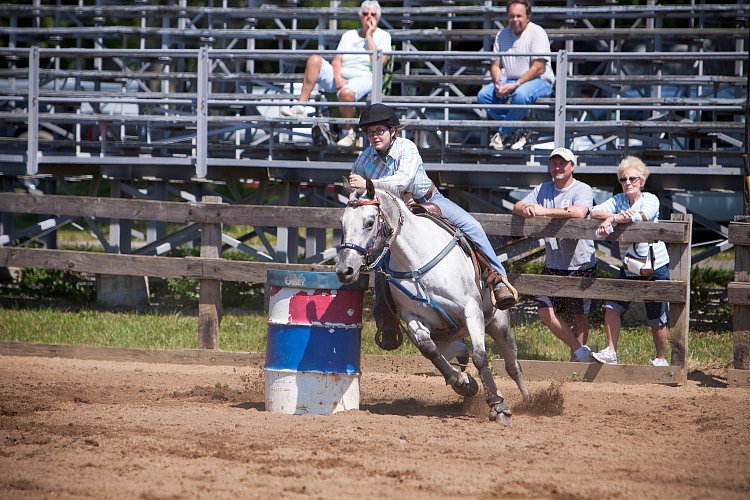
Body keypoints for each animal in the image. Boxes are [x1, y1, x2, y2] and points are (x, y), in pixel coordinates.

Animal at [338, 182, 532, 424]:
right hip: (449, 339)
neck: (416, 262)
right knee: (460, 353)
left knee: (513, 365)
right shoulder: (413, 318)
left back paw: (532, 402)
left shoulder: (471, 310)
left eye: (369, 223)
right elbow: (428, 350)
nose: (345, 270)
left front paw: (498, 407)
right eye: (342, 223)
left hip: (499, 323)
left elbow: (480, 356)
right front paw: (463, 384)